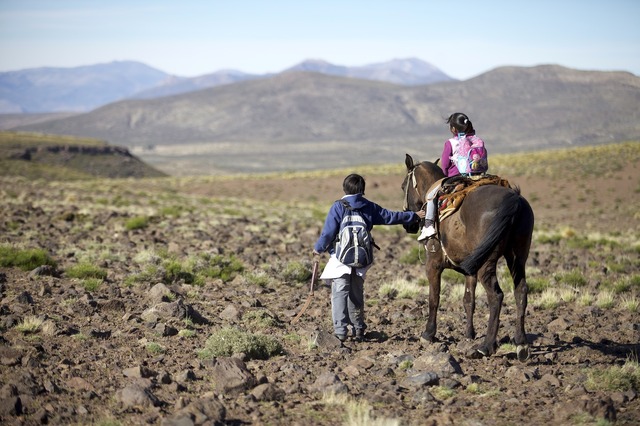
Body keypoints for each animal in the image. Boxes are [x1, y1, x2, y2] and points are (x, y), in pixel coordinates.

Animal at [402, 153, 532, 360]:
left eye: (402, 186)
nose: (410, 225)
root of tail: (514, 199)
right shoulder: (470, 271)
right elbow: (468, 300)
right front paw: (469, 334)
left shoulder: (433, 265)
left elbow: (434, 298)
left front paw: (428, 333)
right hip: (517, 257)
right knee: (521, 291)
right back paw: (521, 343)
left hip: (487, 263)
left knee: (496, 296)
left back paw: (486, 346)